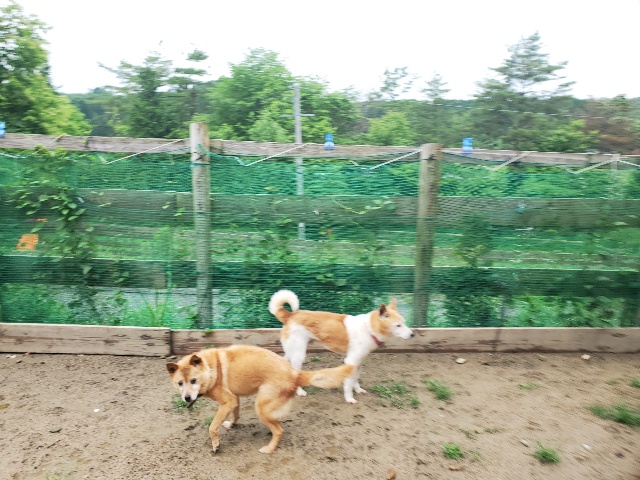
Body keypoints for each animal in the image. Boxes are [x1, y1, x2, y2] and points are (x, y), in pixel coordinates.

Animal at [166, 344, 353, 454]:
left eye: (193, 381)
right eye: (180, 383)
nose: (187, 398)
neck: (211, 369)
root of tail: (294, 373)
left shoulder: (227, 401)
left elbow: (212, 427)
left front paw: (215, 445)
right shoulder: (234, 399)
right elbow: (236, 415)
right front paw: (231, 425)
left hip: (261, 407)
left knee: (279, 431)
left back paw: (269, 449)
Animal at [268, 290, 414, 404]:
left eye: (404, 323)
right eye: (398, 325)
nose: (412, 334)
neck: (369, 329)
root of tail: (290, 315)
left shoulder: (358, 362)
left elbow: (355, 379)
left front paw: (358, 390)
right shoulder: (351, 361)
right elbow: (348, 383)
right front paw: (349, 398)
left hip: (291, 351)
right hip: (299, 354)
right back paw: (299, 391)